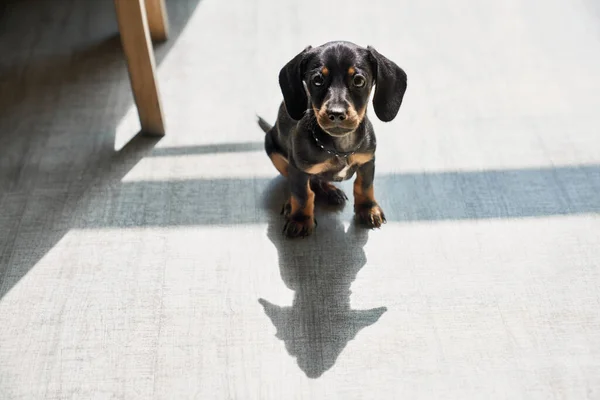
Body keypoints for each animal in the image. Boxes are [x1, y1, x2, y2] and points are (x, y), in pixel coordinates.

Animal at [258, 41, 408, 238]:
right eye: (317, 80)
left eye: (359, 81)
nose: (336, 114)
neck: (339, 148)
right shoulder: (298, 168)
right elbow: (302, 194)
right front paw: (300, 219)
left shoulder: (367, 160)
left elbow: (364, 185)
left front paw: (368, 209)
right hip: (274, 151)